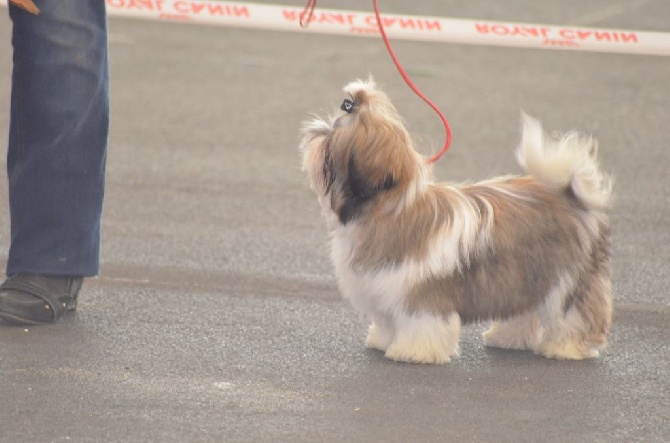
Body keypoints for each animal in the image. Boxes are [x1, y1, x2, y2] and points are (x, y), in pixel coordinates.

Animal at [302, 79, 616, 364]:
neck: (391, 208)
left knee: (572, 313)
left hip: (567, 277)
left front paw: (413, 352)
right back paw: (507, 337)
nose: (316, 131)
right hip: (524, 273)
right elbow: (388, 321)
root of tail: (570, 193)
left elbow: (422, 323)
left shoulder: (422, 295)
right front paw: (383, 340)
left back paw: (566, 347)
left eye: (333, 140)